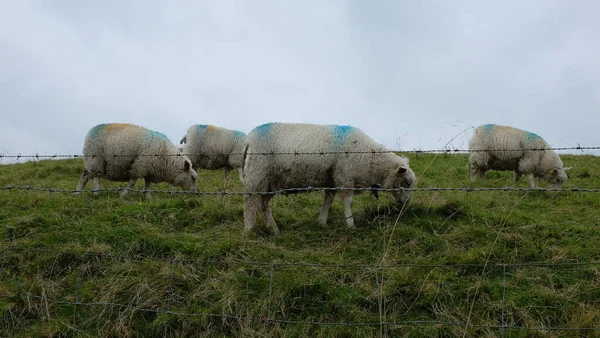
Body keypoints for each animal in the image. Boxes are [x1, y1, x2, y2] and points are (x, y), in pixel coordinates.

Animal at [241, 122, 414, 235]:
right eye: (406, 182)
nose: (405, 203)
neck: (369, 159)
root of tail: (248, 140)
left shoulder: (331, 179)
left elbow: (328, 200)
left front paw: (322, 222)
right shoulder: (344, 175)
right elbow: (347, 201)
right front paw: (350, 225)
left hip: (269, 181)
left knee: (264, 204)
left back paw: (273, 229)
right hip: (257, 173)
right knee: (250, 201)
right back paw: (249, 229)